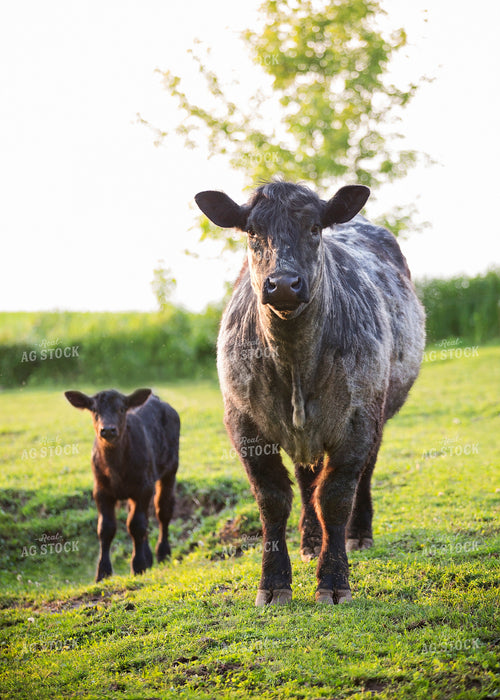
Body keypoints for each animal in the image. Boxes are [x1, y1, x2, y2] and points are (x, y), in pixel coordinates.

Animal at [64, 388, 180, 582]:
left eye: (121, 409)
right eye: (94, 410)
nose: (108, 430)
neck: (116, 468)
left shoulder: (143, 487)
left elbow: (136, 525)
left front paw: (138, 566)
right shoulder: (101, 491)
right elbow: (106, 528)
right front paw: (103, 573)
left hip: (170, 469)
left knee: (163, 510)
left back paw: (163, 553)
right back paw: (149, 556)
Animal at [195, 180, 425, 606]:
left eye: (315, 228)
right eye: (252, 231)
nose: (284, 283)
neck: (295, 365)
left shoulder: (358, 421)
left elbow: (335, 498)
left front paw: (333, 580)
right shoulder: (244, 424)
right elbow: (273, 501)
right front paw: (273, 582)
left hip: (378, 413)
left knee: (362, 474)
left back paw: (357, 534)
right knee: (307, 479)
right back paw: (310, 540)